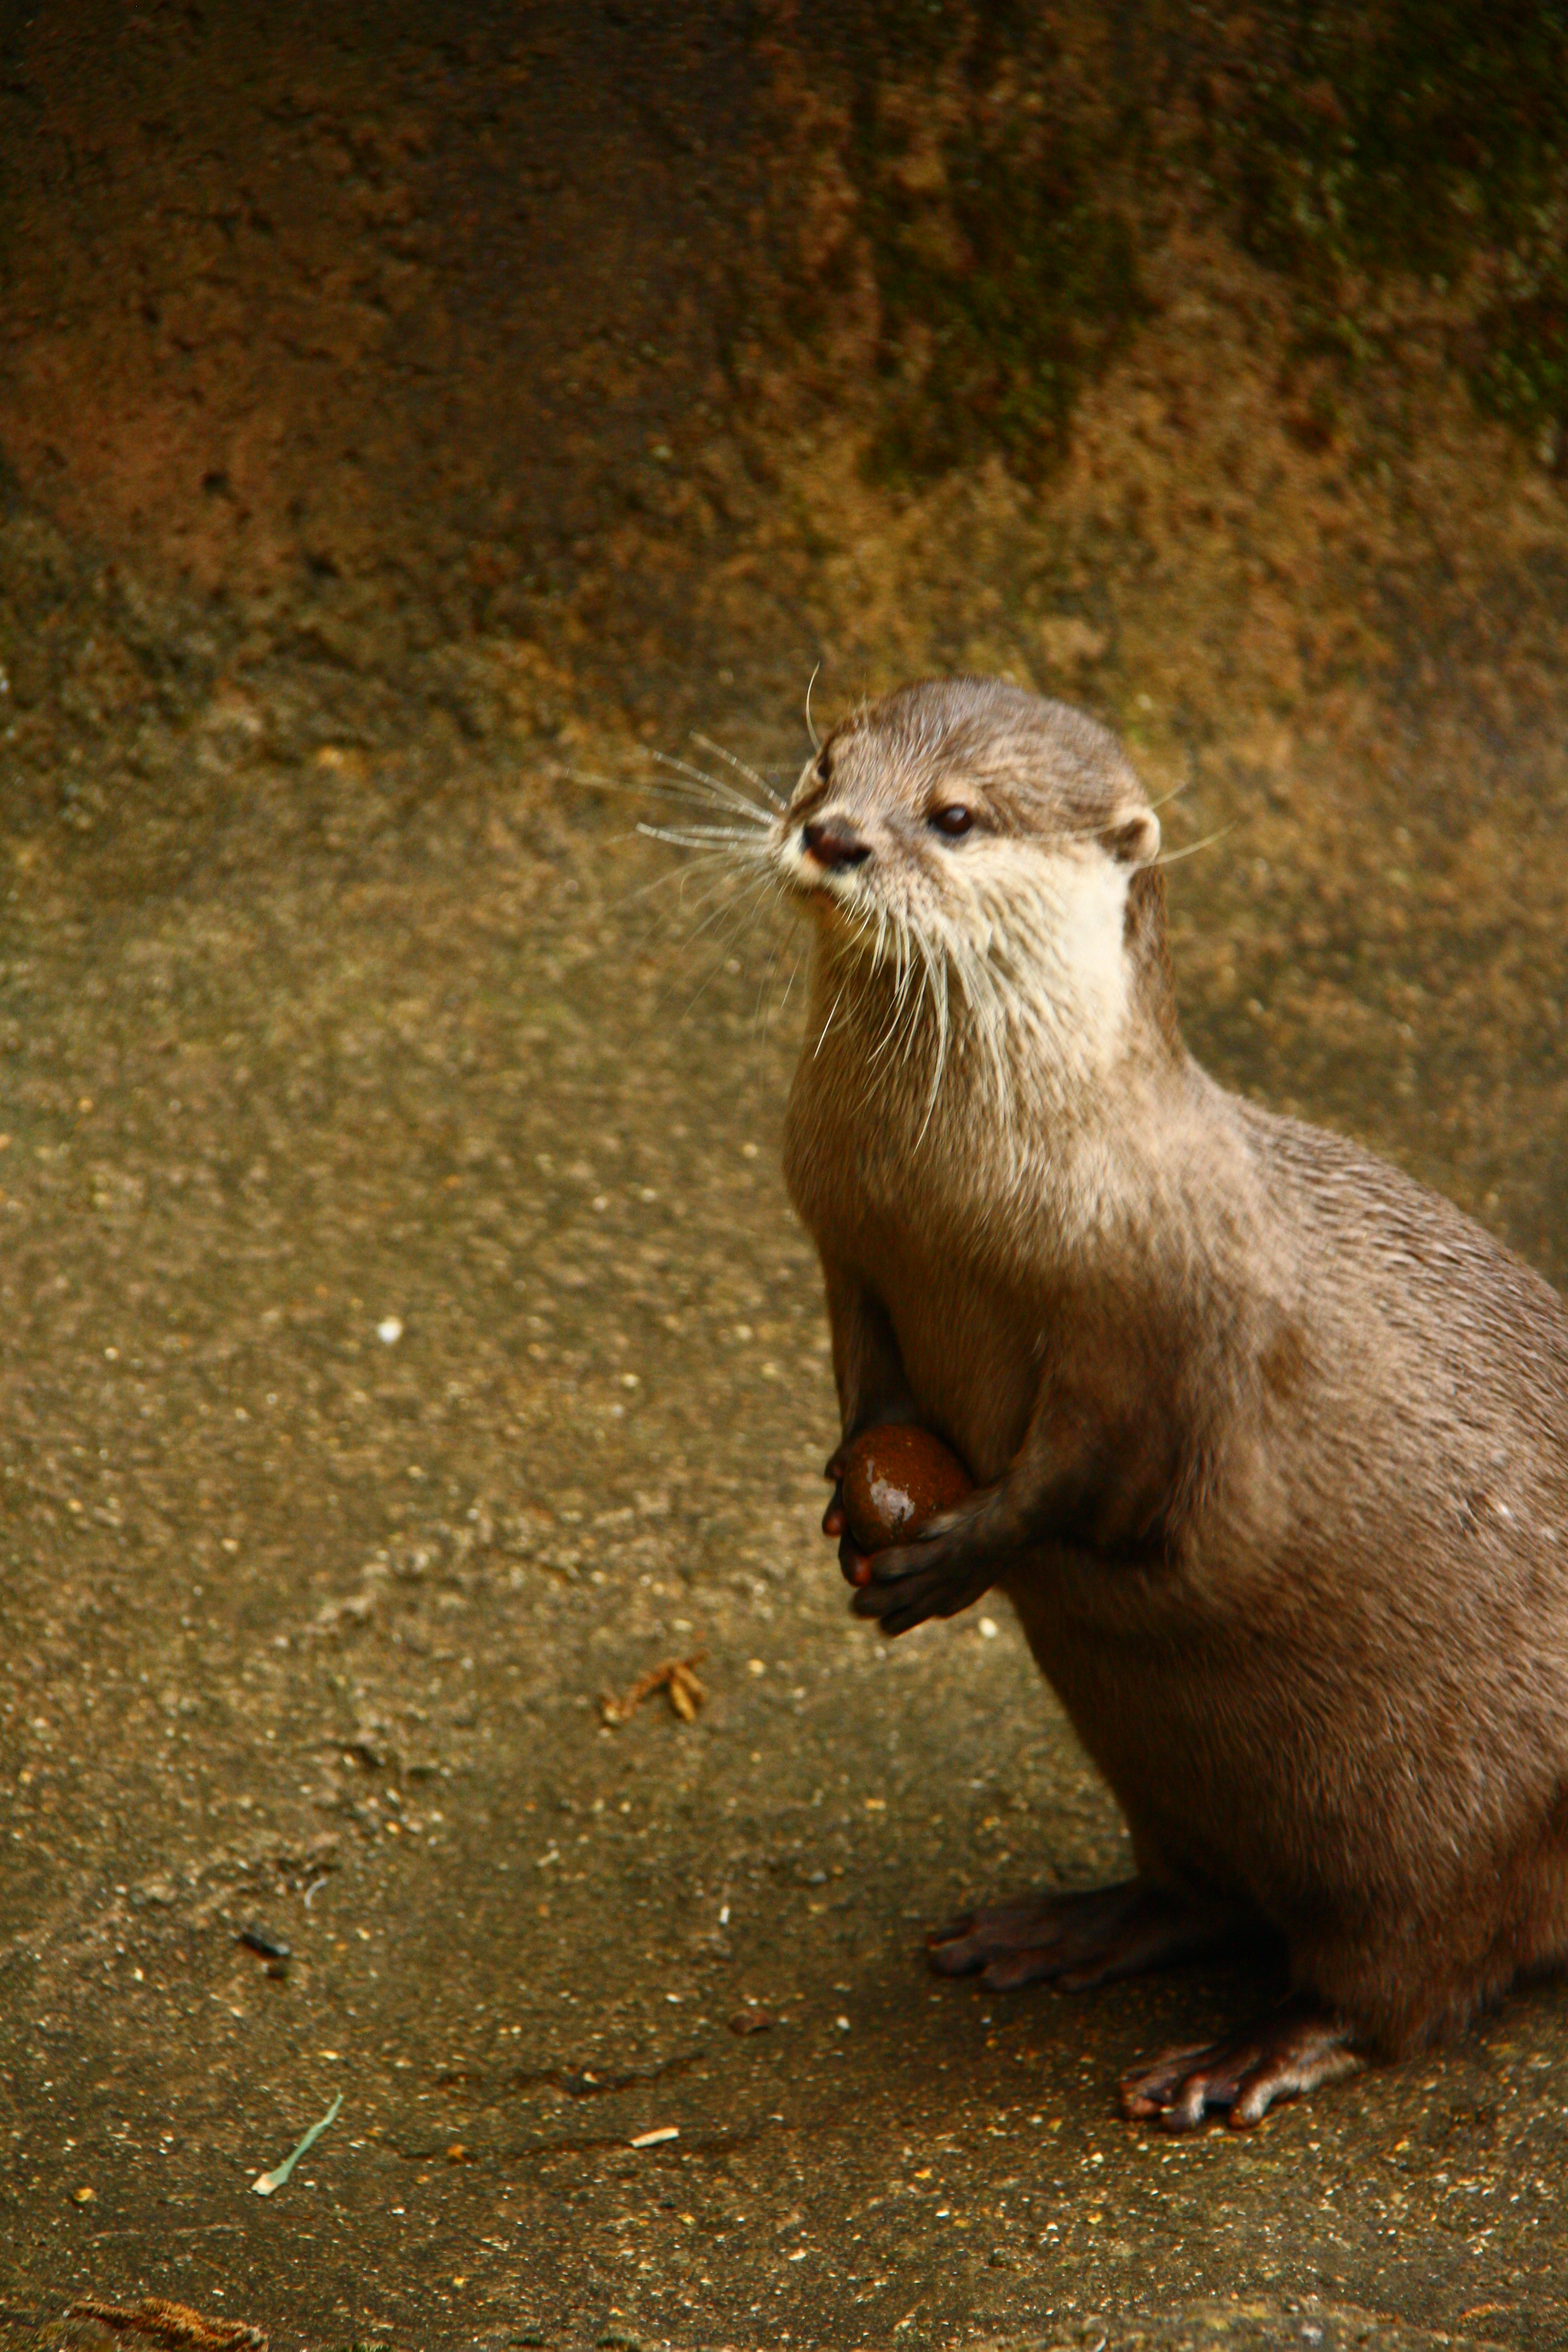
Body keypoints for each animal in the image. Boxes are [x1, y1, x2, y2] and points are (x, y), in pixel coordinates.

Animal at [770, 674, 1568, 2131]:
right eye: (823, 763)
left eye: (955, 817)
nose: (834, 834)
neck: (951, 1200)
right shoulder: (846, 1246)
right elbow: (866, 1389)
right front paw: (852, 1499)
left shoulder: (1154, 1326)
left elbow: (1091, 1473)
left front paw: (950, 1553)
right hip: (1163, 1763)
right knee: (1205, 1891)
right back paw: (1069, 1927)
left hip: (1460, 1805)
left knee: (1413, 1977)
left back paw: (1243, 2056)